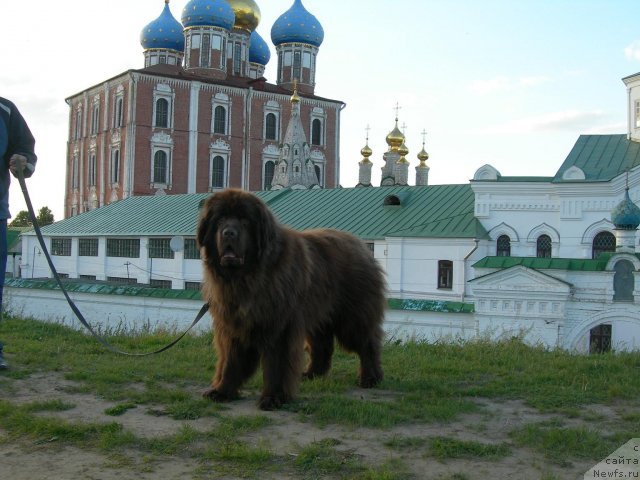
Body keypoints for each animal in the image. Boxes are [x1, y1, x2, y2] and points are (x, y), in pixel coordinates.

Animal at [195, 189, 384, 410]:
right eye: (220, 219)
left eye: (244, 221)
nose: (228, 233)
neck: (247, 278)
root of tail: (362, 246)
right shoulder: (233, 325)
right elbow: (230, 360)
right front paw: (222, 390)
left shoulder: (280, 326)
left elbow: (277, 363)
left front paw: (273, 397)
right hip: (318, 314)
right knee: (322, 345)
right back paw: (311, 374)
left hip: (352, 318)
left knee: (367, 343)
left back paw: (371, 378)